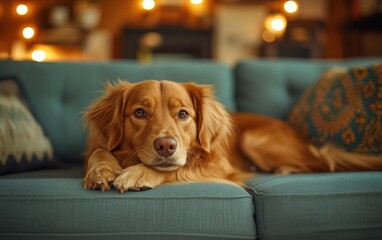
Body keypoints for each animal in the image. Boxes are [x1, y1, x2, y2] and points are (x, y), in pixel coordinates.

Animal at [84, 79, 382, 192]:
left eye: (183, 114)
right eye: (139, 113)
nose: (166, 146)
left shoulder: (218, 164)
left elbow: (179, 167)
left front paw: (139, 173)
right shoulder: (99, 145)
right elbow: (100, 150)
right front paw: (101, 169)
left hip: (255, 140)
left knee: (323, 163)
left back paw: (285, 168)